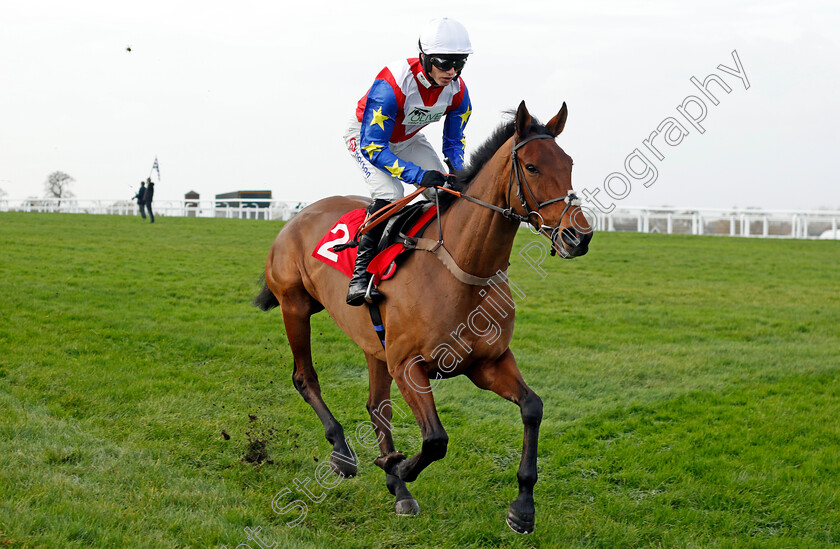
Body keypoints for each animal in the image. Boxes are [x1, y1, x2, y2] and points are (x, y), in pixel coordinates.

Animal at [256, 101, 592, 532]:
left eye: (568, 163)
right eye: (532, 167)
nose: (579, 236)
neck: (464, 268)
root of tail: (299, 215)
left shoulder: (487, 362)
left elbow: (533, 407)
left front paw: (523, 507)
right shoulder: (408, 365)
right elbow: (435, 439)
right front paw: (398, 467)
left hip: (373, 343)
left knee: (376, 406)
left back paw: (397, 488)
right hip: (294, 306)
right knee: (305, 377)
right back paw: (344, 453)